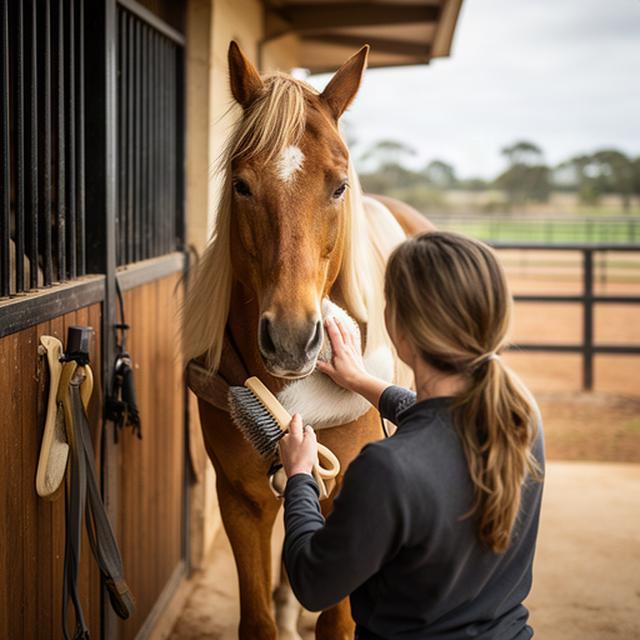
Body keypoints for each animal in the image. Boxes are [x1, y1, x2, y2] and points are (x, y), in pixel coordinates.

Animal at [183, 41, 433, 640]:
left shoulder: (350, 500)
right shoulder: (241, 500)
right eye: (241, 185)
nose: (294, 338)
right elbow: (257, 620)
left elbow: (337, 623)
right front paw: (278, 611)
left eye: (339, 185)